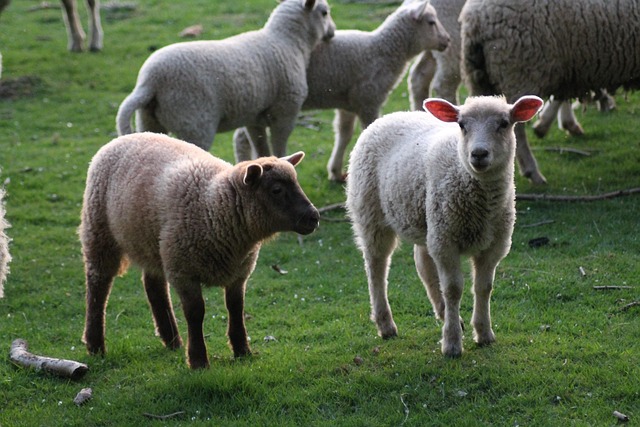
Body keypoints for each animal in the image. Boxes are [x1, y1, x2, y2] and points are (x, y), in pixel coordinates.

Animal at [79, 132, 320, 369]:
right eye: (276, 190)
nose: (314, 217)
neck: (214, 206)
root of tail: (122, 137)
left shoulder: (239, 274)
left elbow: (236, 308)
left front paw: (242, 351)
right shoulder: (183, 272)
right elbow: (196, 313)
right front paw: (198, 360)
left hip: (154, 244)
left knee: (154, 286)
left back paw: (172, 340)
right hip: (99, 231)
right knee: (98, 285)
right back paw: (95, 344)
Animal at [116, 0, 336, 157]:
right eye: (324, 12)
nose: (332, 33)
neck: (287, 41)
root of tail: (149, 82)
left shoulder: (254, 117)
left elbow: (262, 149)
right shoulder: (285, 112)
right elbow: (279, 147)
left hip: (148, 121)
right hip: (194, 123)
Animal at [234, 0, 450, 181]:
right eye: (431, 22)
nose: (447, 40)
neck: (384, 51)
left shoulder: (348, 104)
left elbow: (344, 134)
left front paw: (336, 172)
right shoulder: (368, 100)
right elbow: (368, 129)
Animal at [346, 95, 543, 357]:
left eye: (504, 123)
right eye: (461, 125)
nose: (478, 154)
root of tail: (391, 115)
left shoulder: (494, 245)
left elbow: (484, 287)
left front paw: (484, 333)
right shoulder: (446, 242)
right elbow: (453, 289)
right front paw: (451, 343)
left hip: (428, 220)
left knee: (423, 263)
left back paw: (442, 313)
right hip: (371, 213)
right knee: (376, 267)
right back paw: (386, 324)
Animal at [460, 0, 640, 184]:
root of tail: (475, 19)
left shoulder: (570, 65)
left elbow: (562, 96)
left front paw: (559, 124)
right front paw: (547, 125)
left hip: (481, 79)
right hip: (521, 70)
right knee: (517, 129)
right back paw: (533, 172)